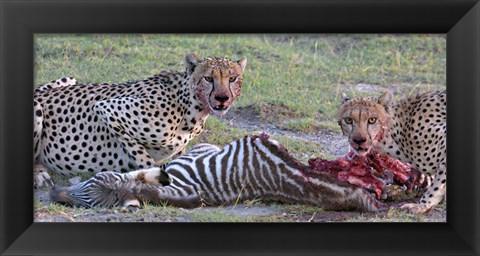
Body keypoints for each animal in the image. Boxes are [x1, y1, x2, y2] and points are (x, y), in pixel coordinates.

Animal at [33, 53, 248, 187]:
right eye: (208, 78)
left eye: (232, 78)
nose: (222, 98)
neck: (190, 106)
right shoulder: (107, 109)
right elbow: (142, 155)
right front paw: (156, 176)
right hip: (36, 107)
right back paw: (40, 175)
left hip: (70, 79)